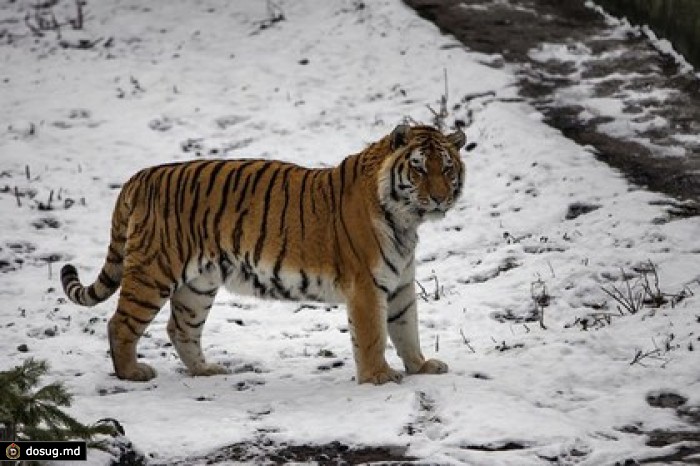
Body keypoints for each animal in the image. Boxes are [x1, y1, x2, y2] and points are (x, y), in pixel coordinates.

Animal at [63, 124, 470, 386]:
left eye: (447, 168)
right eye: (418, 168)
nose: (438, 198)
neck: (406, 221)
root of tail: (138, 177)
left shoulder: (399, 284)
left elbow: (407, 330)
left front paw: (421, 367)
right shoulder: (367, 287)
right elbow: (373, 336)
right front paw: (379, 378)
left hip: (198, 285)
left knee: (180, 327)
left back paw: (205, 371)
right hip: (154, 271)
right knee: (120, 324)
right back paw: (132, 374)